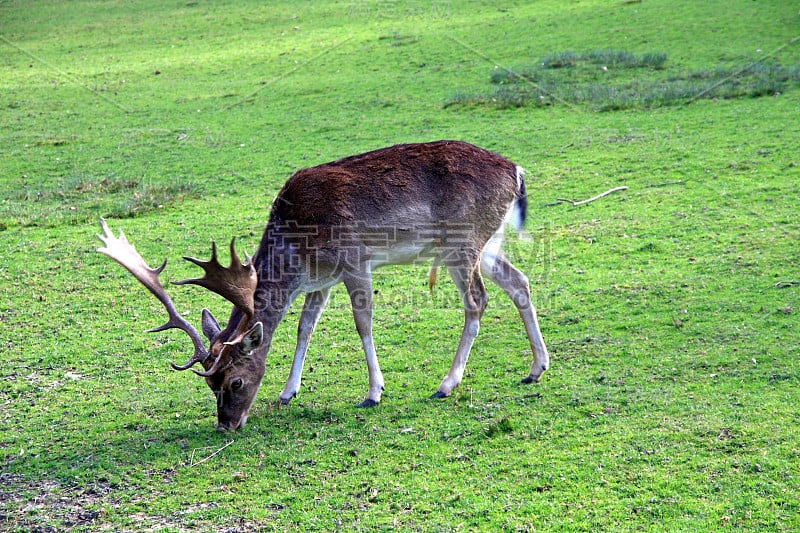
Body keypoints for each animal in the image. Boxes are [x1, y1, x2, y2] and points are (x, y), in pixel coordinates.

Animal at [98, 139, 552, 430]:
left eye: (235, 381)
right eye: (209, 383)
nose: (226, 425)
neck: (298, 250)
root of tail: (516, 172)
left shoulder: (355, 261)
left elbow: (362, 322)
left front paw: (374, 392)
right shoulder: (322, 280)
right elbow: (305, 326)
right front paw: (287, 392)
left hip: (462, 242)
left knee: (478, 299)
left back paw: (446, 384)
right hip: (488, 243)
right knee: (519, 281)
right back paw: (536, 368)